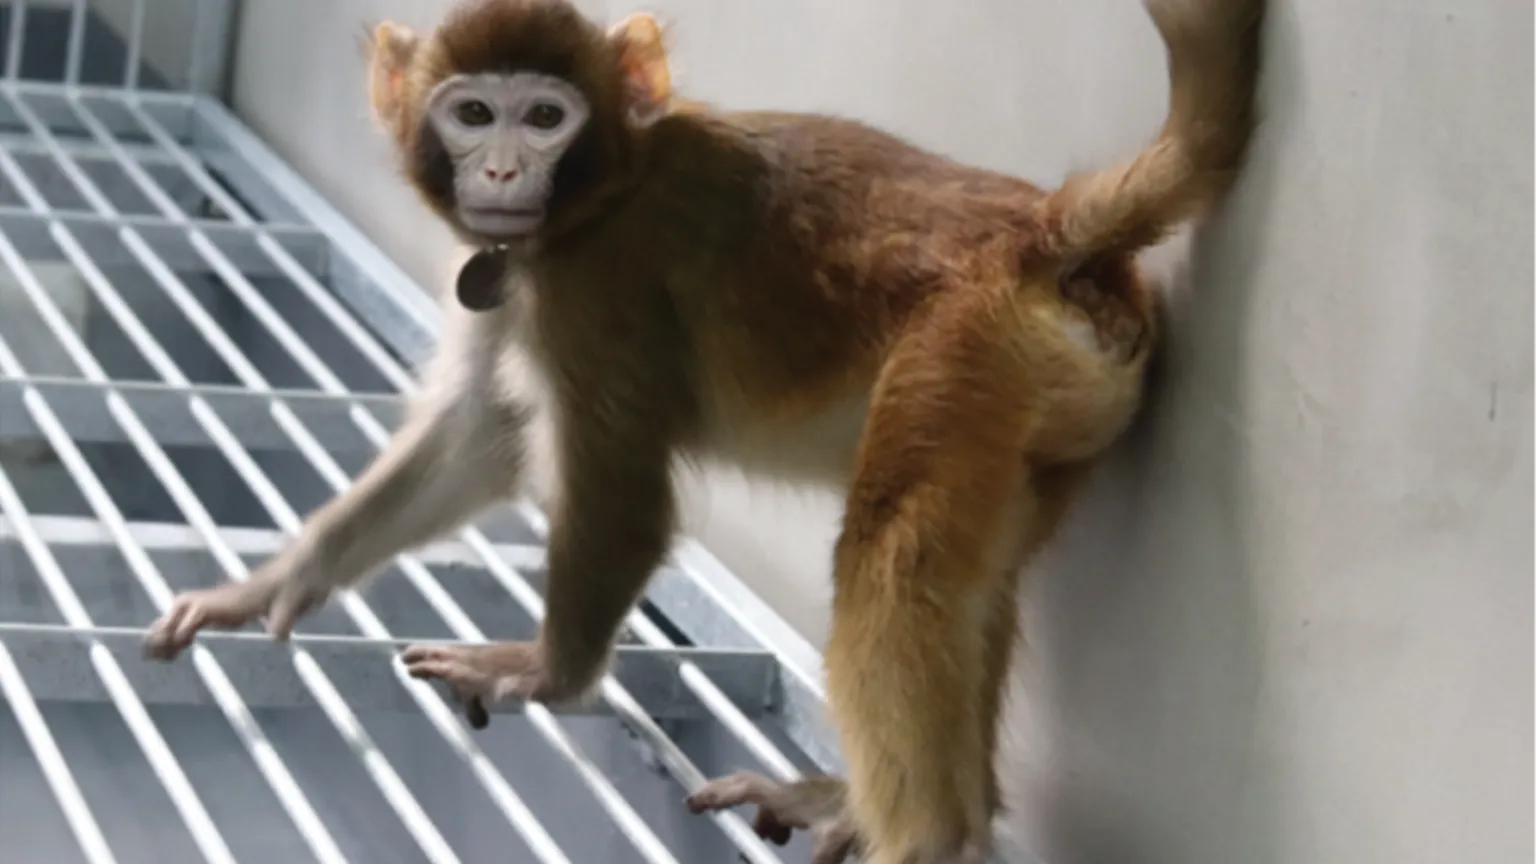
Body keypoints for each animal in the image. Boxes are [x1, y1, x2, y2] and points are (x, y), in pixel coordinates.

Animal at [144, 1, 1265, 854]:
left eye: (543, 116)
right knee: (966, 580)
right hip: (1039, 410)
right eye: (471, 112)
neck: (604, 189)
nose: (500, 173)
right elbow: (479, 435)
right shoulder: (521, 276)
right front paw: (272, 585)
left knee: (895, 561)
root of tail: (1044, 235)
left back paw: (925, 835)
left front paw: (550, 674)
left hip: (965, 351)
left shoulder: (599, 285)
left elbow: (624, 495)